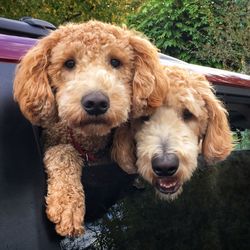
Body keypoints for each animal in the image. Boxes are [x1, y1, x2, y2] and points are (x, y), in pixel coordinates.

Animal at [13, 20, 166, 236]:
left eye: (115, 62)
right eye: (69, 63)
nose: (96, 102)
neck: (88, 144)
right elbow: (63, 151)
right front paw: (67, 204)